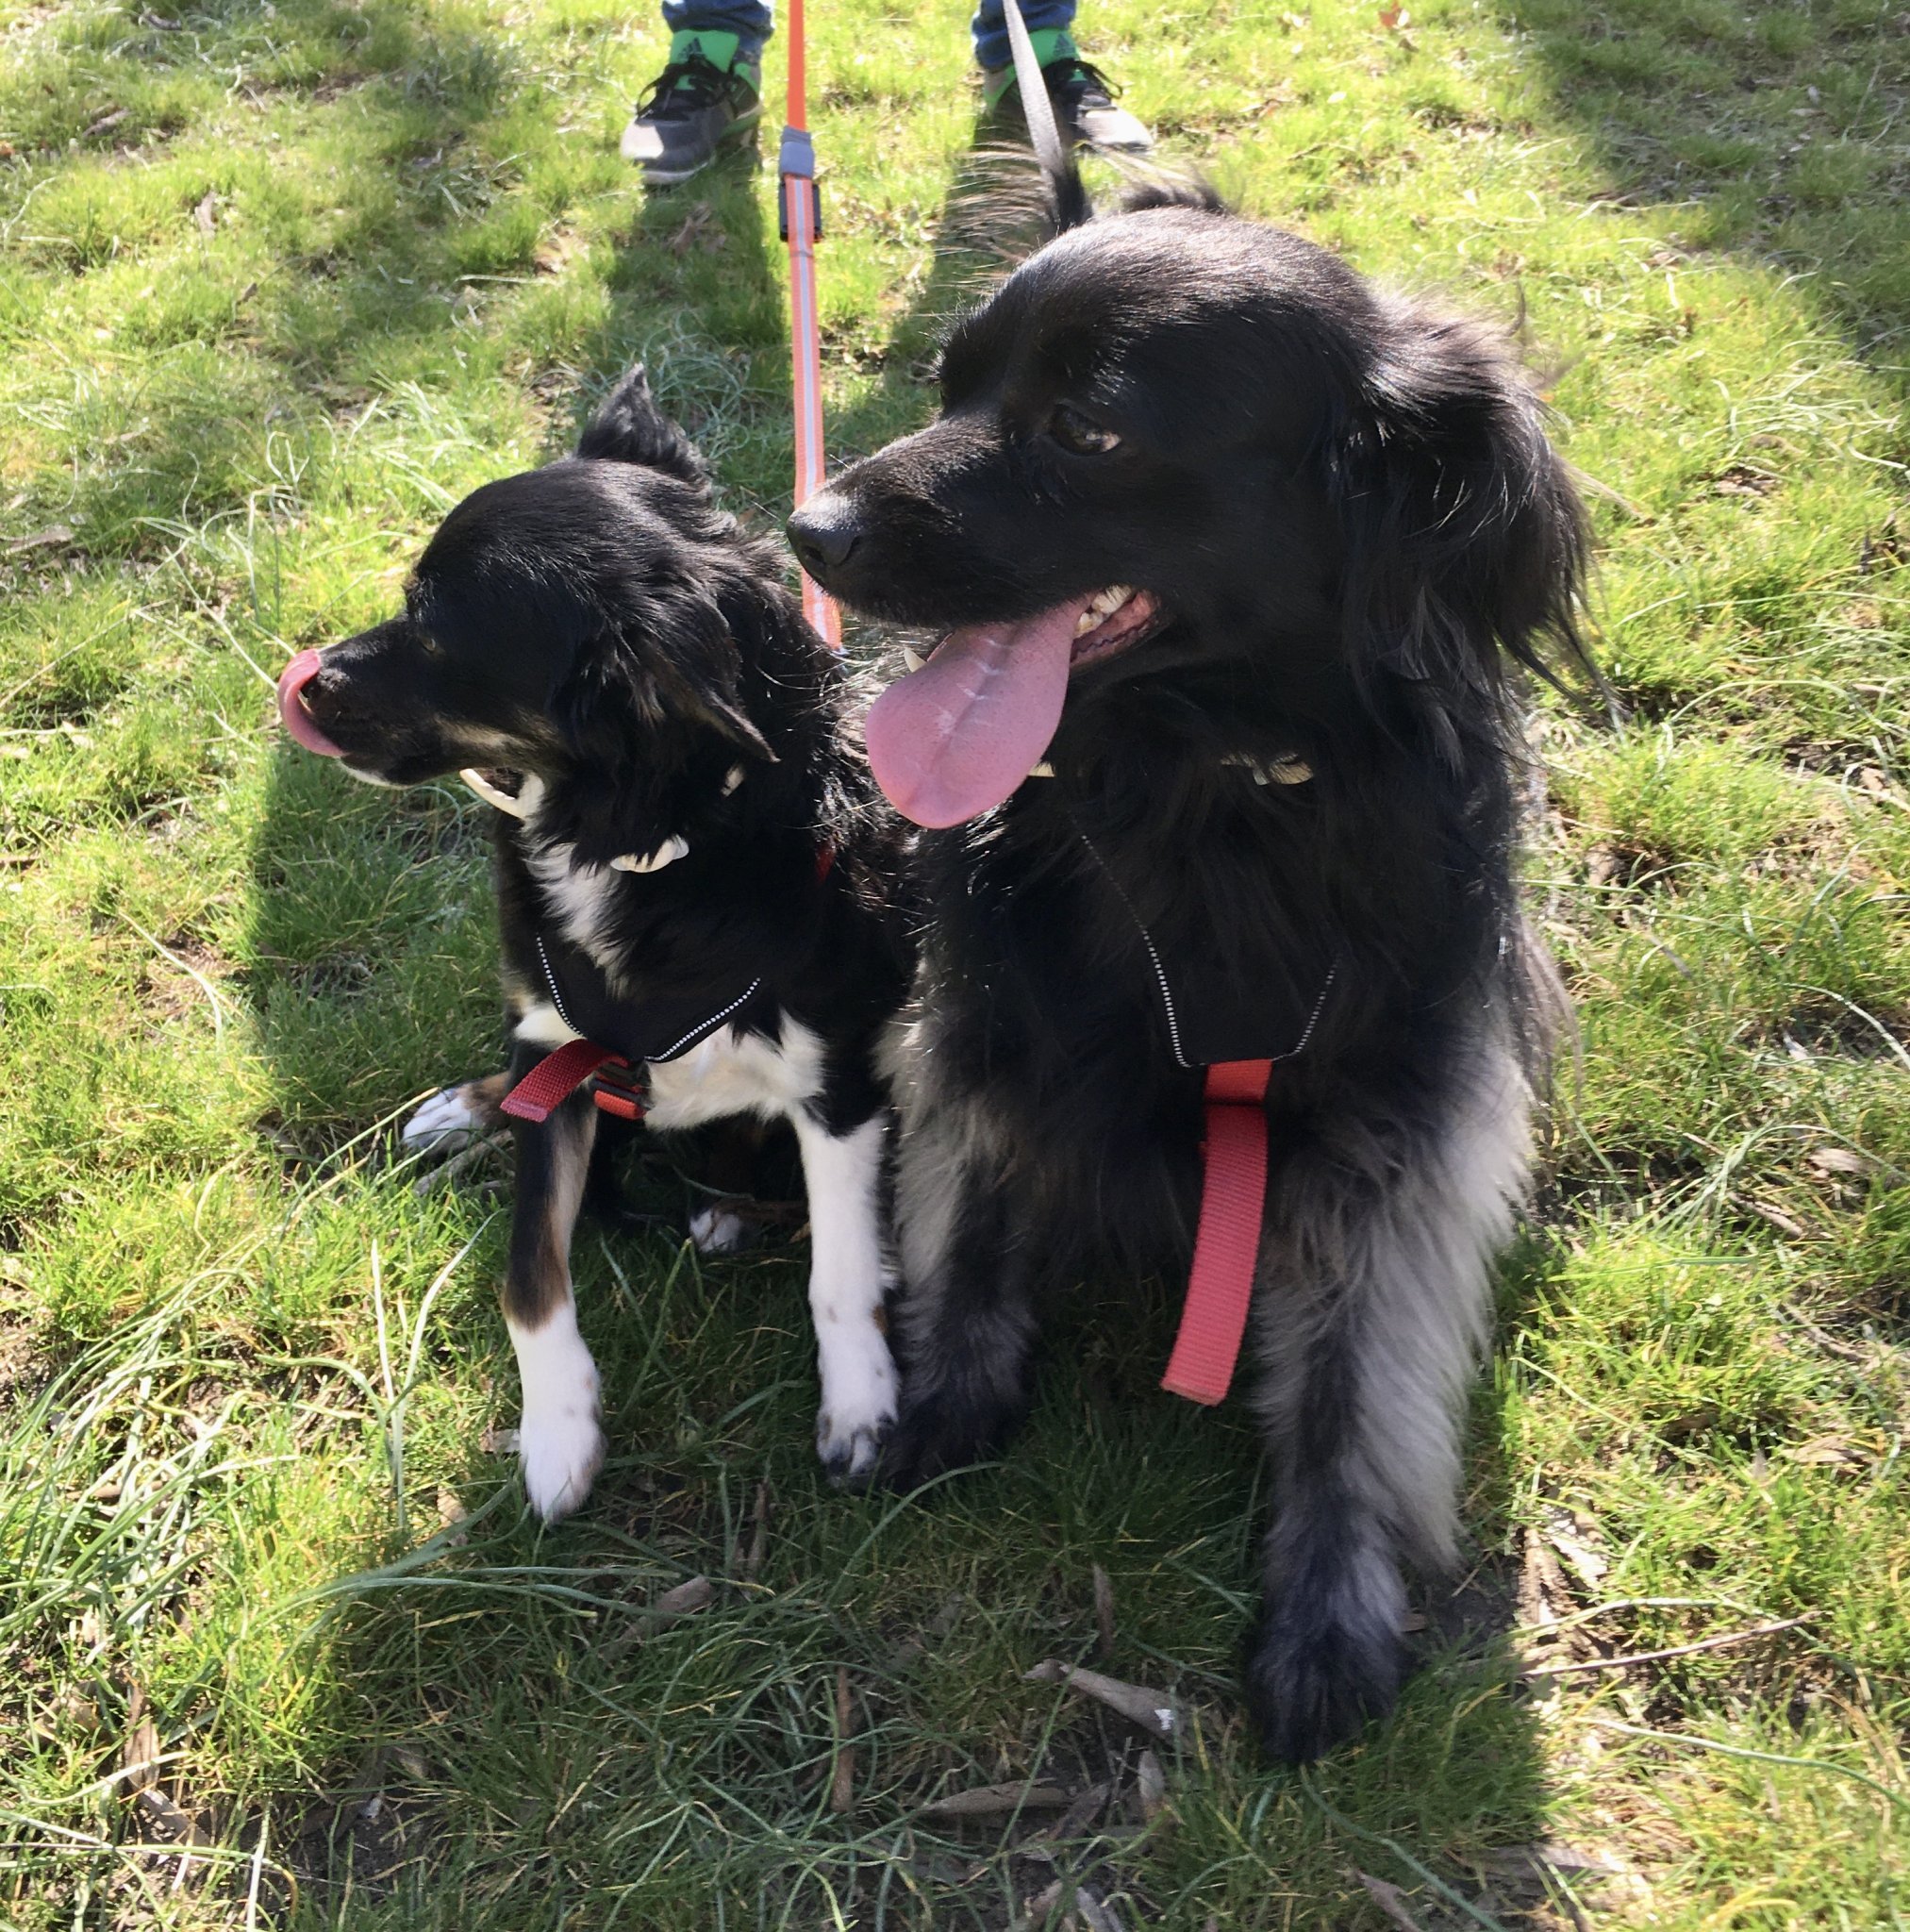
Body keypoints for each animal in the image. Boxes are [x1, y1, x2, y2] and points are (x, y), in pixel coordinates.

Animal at [276, 366, 913, 1517]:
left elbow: (837, 1272)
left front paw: (861, 1406)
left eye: (433, 627)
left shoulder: (837, 1079)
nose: (303, 681)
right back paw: (465, 1104)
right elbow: (529, 1271)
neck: (642, 844)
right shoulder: (560, 1050)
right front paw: (556, 1430)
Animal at [787, 186, 1587, 1761]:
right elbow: (978, 1209)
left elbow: (1353, 1381)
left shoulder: (1393, 1128)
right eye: (949, 388)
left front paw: (1329, 1613)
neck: (1208, 784)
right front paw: (941, 1397)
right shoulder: (991, 1019)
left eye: (1088, 431)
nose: (805, 529)